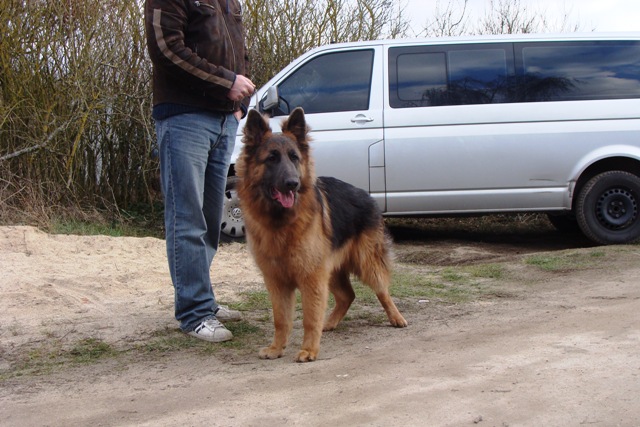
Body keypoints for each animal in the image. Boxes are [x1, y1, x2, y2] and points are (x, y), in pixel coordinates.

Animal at [236, 107, 407, 362]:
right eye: (272, 158)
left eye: (294, 157)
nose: (293, 184)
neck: (281, 223)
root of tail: (366, 194)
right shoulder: (277, 281)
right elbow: (281, 319)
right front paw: (277, 348)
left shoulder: (311, 278)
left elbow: (309, 317)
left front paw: (309, 349)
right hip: (331, 271)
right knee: (347, 296)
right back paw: (331, 322)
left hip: (366, 263)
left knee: (382, 291)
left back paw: (396, 317)